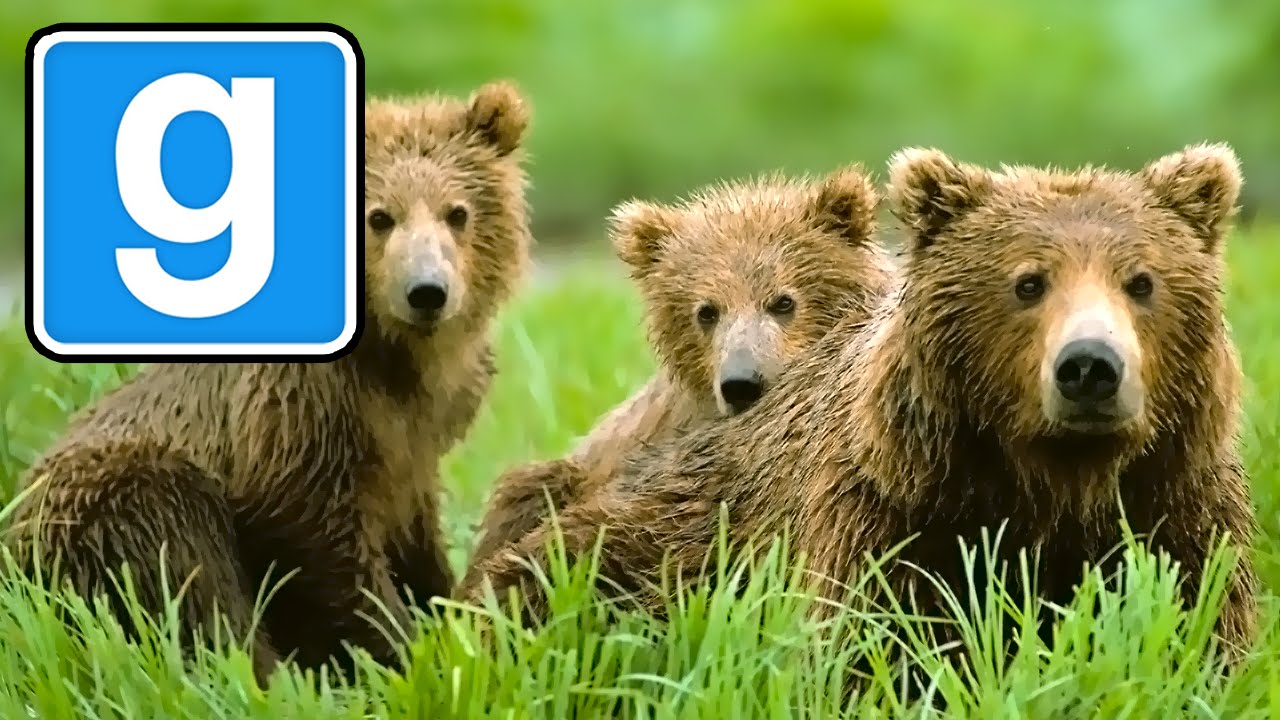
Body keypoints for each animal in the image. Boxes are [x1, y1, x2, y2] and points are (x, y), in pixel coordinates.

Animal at [4, 80, 534, 682]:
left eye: (457, 212)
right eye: (379, 217)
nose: (427, 291)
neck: (397, 362)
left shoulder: (418, 438)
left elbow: (416, 534)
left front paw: (444, 608)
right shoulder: (299, 410)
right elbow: (315, 537)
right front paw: (403, 649)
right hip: (112, 500)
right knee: (184, 568)